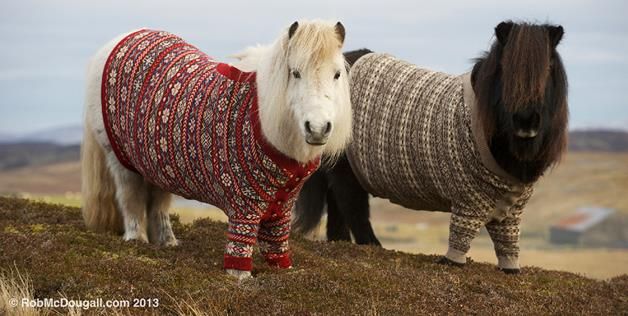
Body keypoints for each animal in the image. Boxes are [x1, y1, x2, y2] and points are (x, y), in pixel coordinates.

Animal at [81, 20, 350, 278]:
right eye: (295, 73)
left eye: (337, 74)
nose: (317, 128)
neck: (263, 117)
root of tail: (119, 40)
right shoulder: (244, 205)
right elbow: (240, 246)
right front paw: (239, 277)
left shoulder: (282, 207)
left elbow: (277, 244)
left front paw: (282, 271)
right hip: (120, 161)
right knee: (131, 198)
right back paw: (136, 241)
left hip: (157, 163)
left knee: (158, 204)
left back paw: (167, 242)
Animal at [294, 21, 568, 272]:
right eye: (505, 68)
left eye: (549, 67)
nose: (526, 121)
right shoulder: (467, 201)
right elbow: (460, 238)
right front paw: (452, 263)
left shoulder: (512, 210)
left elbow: (508, 243)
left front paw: (510, 268)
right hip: (347, 172)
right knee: (352, 208)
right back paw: (372, 246)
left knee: (338, 208)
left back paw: (341, 243)